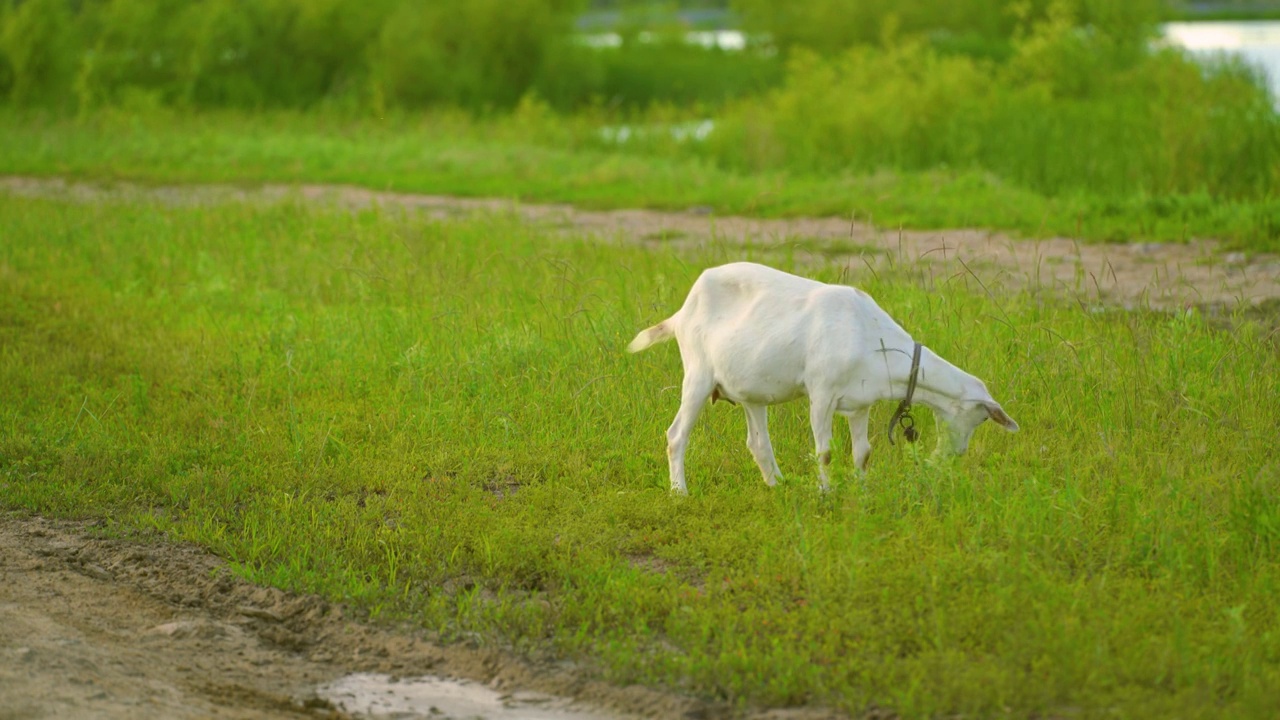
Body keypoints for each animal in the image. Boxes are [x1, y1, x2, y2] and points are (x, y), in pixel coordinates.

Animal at [629, 262, 1018, 491]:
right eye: (982, 416)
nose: (956, 454)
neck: (871, 336)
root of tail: (683, 310)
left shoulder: (860, 403)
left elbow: (863, 452)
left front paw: (861, 493)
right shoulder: (821, 393)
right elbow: (825, 452)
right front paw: (826, 493)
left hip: (751, 390)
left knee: (757, 442)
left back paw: (778, 485)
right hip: (698, 373)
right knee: (676, 435)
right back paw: (679, 492)